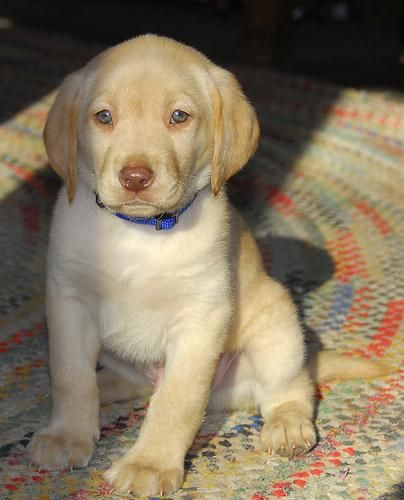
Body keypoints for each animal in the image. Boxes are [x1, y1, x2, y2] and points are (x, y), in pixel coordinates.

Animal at [29, 36, 386, 496]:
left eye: (179, 116)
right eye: (103, 117)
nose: (135, 177)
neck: (140, 232)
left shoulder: (200, 319)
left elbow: (176, 402)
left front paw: (149, 463)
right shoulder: (68, 300)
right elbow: (70, 376)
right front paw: (67, 435)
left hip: (278, 327)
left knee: (293, 387)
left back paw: (288, 425)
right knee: (129, 382)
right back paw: (104, 384)